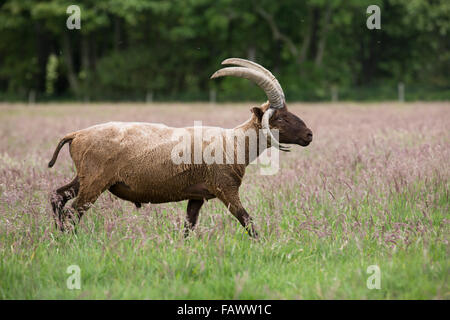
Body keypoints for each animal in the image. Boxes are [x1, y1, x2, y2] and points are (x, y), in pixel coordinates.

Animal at [48, 58, 310, 238]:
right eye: (280, 118)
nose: (309, 135)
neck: (234, 142)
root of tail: (76, 135)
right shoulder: (225, 189)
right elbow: (246, 220)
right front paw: (265, 245)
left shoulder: (197, 196)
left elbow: (188, 227)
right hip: (95, 181)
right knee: (73, 210)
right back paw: (69, 240)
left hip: (84, 178)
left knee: (57, 197)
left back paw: (58, 237)